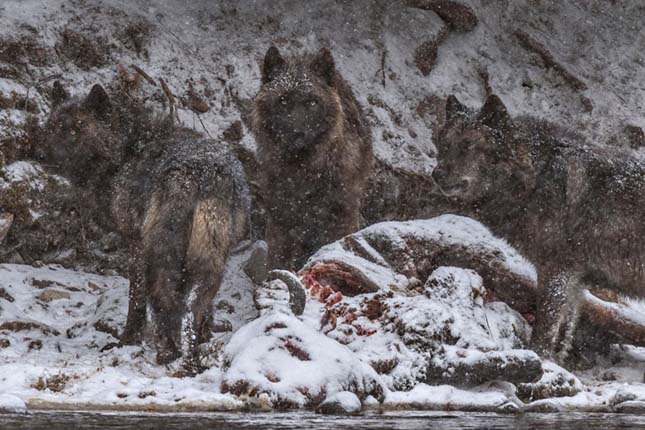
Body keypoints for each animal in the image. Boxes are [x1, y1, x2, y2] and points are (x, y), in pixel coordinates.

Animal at [39, 84, 248, 370]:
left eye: (75, 129)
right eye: (52, 126)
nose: (38, 154)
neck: (125, 150)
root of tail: (200, 175)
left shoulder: (135, 243)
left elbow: (135, 300)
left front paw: (127, 340)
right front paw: (206, 335)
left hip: (159, 255)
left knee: (165, 299)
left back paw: (168, 351)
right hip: (211, 258)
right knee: (192, 305)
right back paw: (191, 352)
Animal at [252, 46, 372, 268]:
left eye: (312, 102)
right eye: (283, 100)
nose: (297, 133)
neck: (302, 169)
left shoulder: (340, 214)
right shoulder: (281, 219)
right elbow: (278, 259)